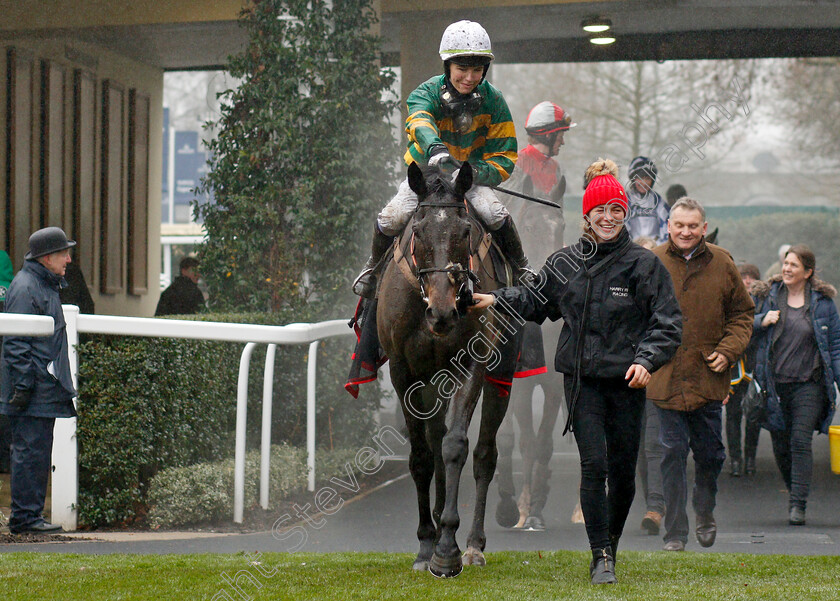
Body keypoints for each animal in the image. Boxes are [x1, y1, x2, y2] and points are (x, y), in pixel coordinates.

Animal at [378, 161, 516, 576]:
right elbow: (423, 456)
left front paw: (447, 549)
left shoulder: (473, 363)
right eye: (418, 230)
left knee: (485, 453)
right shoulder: (403, 372)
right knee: (434, 440)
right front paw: (427, 544)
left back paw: (472, 545)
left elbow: (456, 446)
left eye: (465, 231)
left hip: (499, 375)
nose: (443, 312)